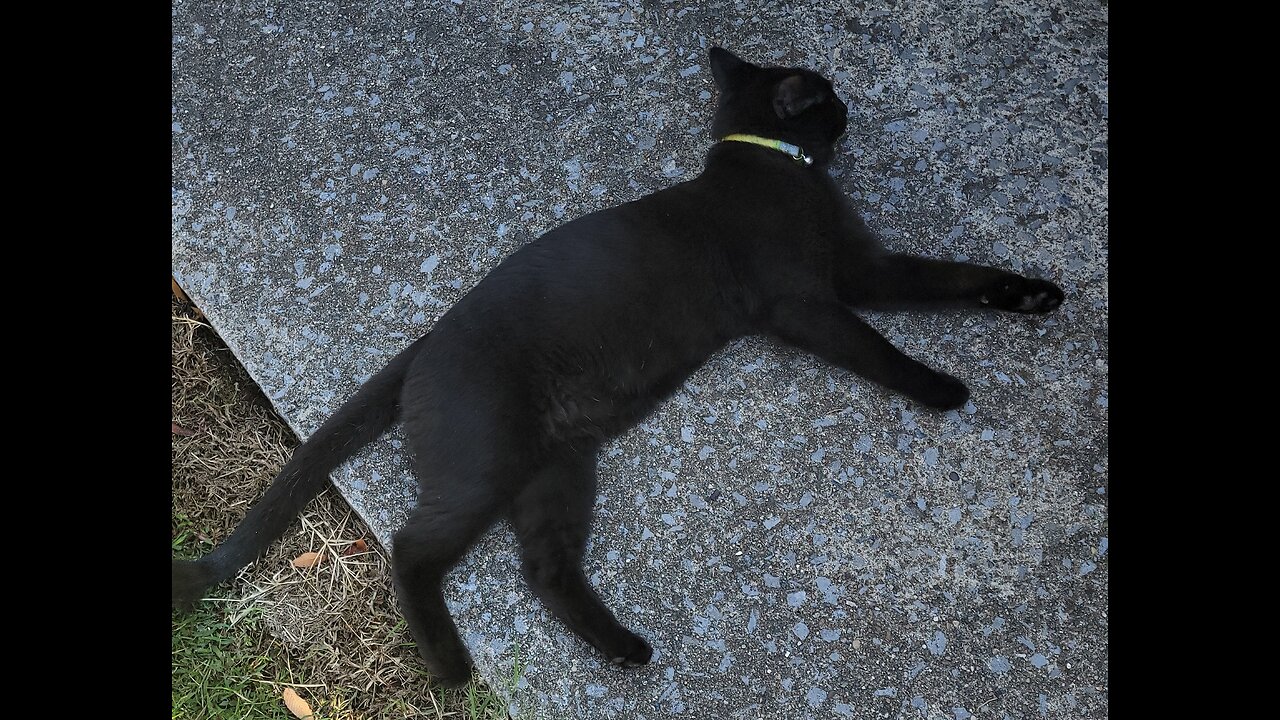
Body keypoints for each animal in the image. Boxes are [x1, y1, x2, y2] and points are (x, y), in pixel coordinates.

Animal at [175, 44, 1064, 681]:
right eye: (829, 95)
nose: (852, 107)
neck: (767, 161)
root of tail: (426, 341)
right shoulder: (813, 302)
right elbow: (882, 348)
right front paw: (941, 388)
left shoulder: (865, 269)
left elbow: (951, 275)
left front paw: (1032, 293)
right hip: (487, 464)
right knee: (412, 546)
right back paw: (453, 667)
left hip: (560, 470)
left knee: (542, 568)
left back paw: (623, 647)